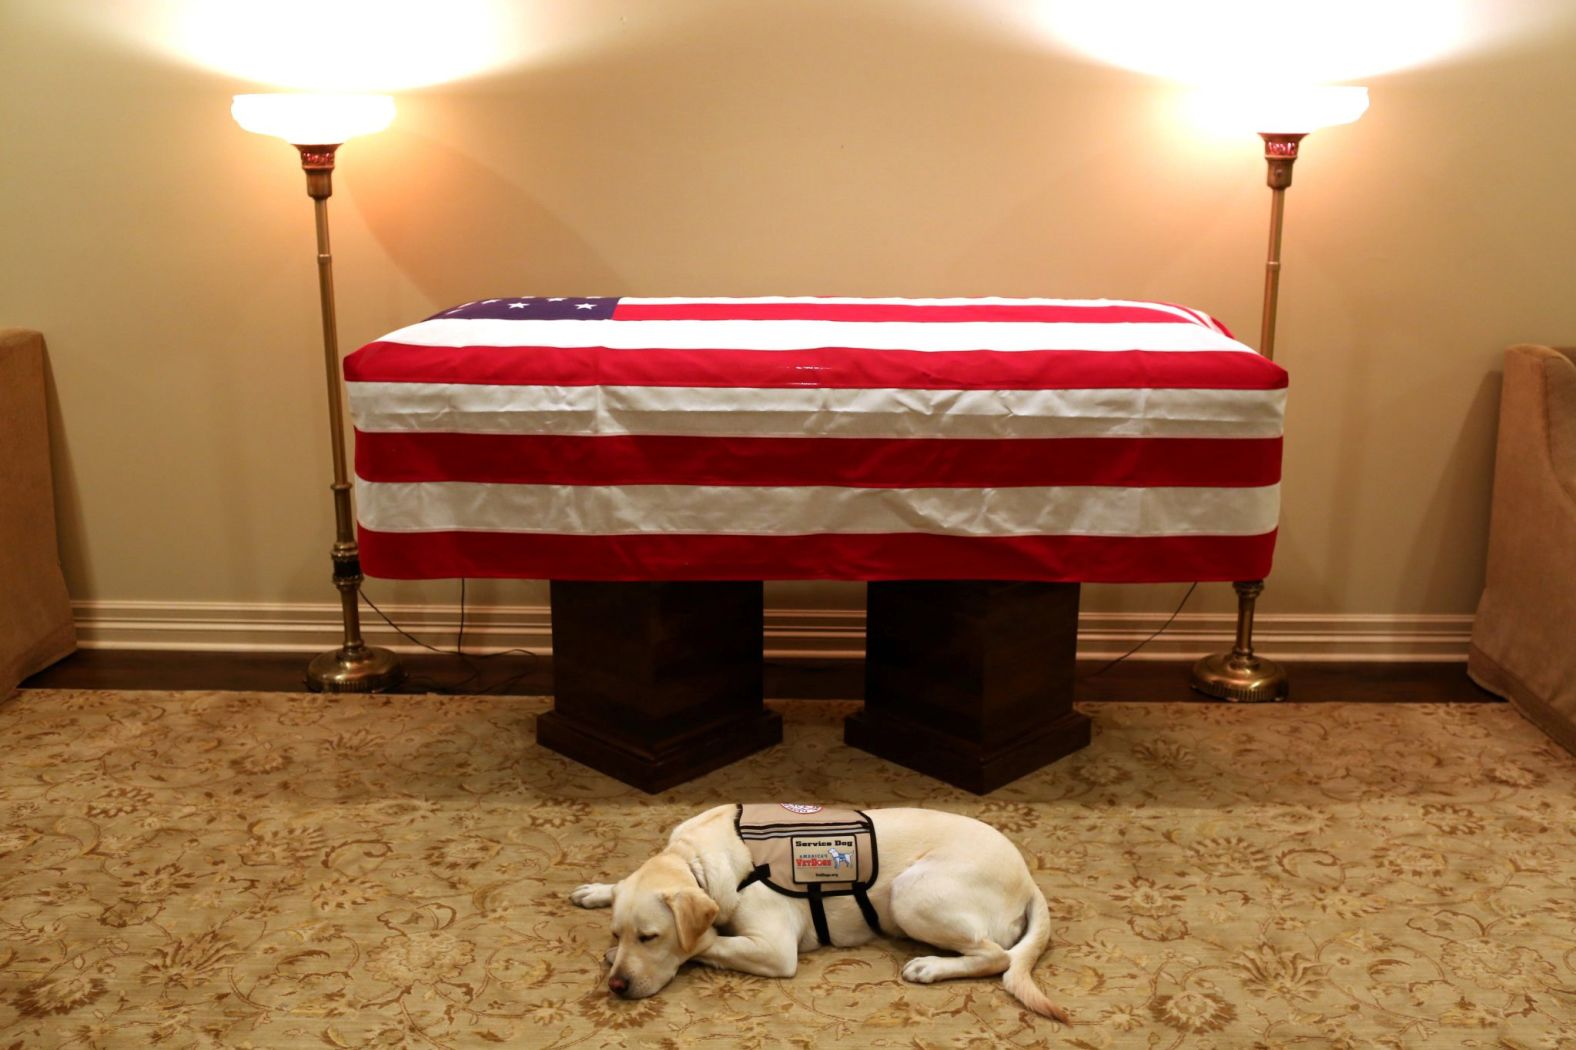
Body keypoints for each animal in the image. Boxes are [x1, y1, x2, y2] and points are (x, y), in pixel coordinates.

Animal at [567, 800, 1071, 1015]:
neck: (695, 859)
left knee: (997, 956)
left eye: (650, 937)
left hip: (910, 893)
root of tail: (1029, 877)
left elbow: (708, 942)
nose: (616, 986)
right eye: (618, 931)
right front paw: (598, 891)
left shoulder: (774, 949)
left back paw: (929, 966)